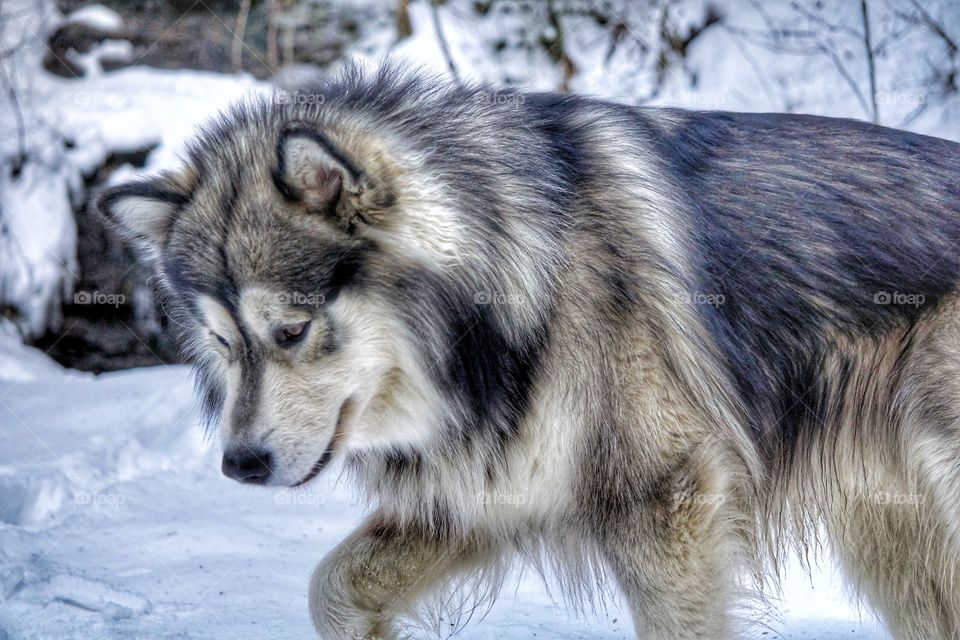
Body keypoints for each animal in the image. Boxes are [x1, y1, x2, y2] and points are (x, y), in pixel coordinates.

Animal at [98, 65, 960, 639]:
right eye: (223, 342)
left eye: (291, 329)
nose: (239, 464)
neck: (519, 292)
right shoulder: (479, 494)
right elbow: (331, 589)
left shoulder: (664, 502)